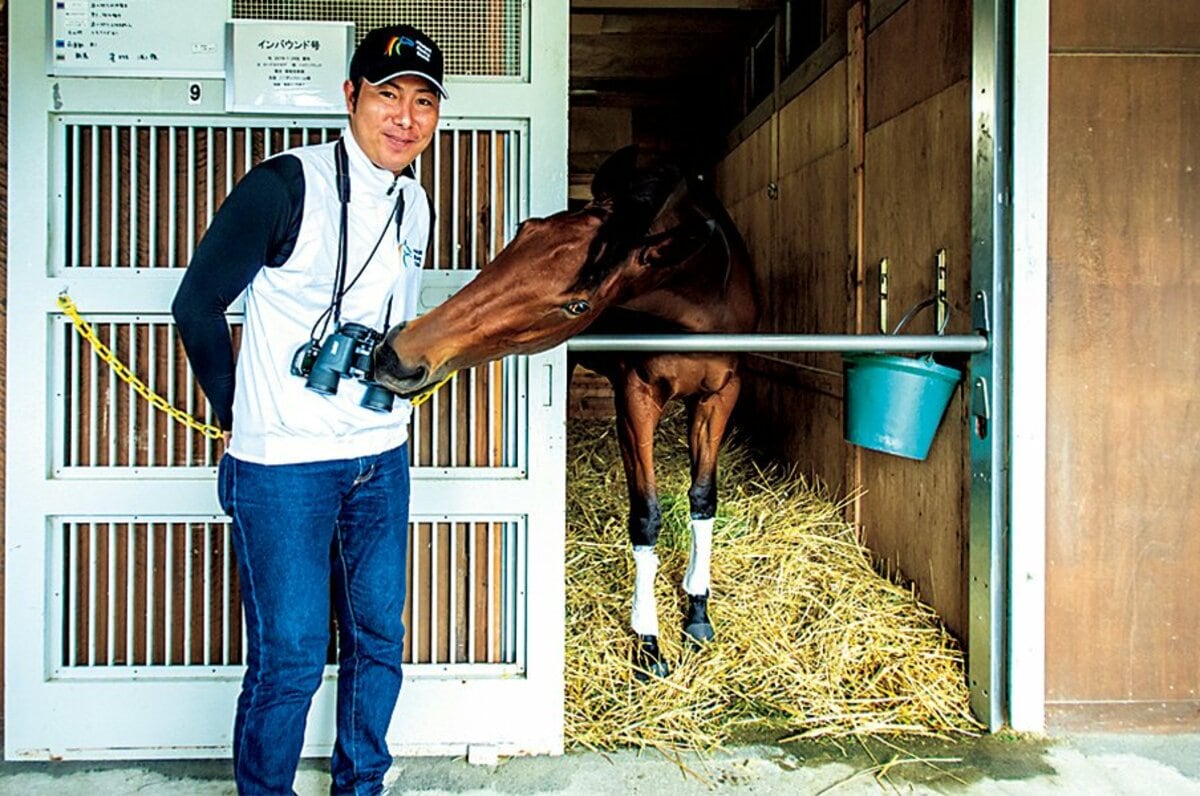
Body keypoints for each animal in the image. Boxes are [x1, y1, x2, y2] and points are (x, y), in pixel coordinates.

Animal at [373, 146, 758, 678]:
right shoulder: (636, 396)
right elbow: (647, 515)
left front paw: (697, 612)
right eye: (524, 232)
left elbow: (703, 499)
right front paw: (648, 641)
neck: (704, 300)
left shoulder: (720, 396)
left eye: (578, 305)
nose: (397, 354)